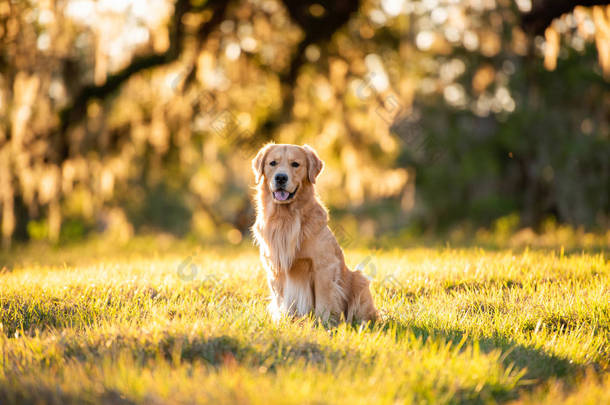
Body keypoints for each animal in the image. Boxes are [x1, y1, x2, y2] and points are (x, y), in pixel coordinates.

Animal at [251, 142, 376, 322]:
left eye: (295, 164)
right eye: (272, 163)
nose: (280, 178)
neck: (285, 217)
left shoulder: (323, 267)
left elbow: (323, 301)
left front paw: (323, 323)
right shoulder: (275, 267)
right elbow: (282, 300)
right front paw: (284, 321)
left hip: (360, 279)